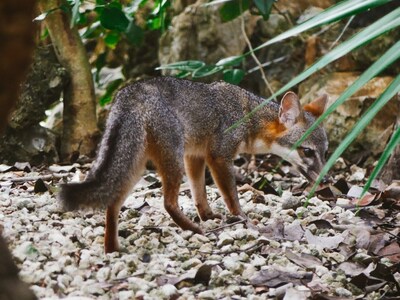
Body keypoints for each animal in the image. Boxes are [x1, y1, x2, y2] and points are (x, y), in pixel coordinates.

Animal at [59, 76, 328, 252]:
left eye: (326, 153)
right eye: (307, 152)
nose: (326, 179)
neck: (248, 114)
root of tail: (130, 92)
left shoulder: (196, 157)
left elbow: (200, 192)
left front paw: (207, 215)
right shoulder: (218, 157)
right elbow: (230, 195)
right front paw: (241, 218)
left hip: (136, 164)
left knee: (112, 203)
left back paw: (112, 248)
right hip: (170, 160)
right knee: (168, 202)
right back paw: (195, 231)